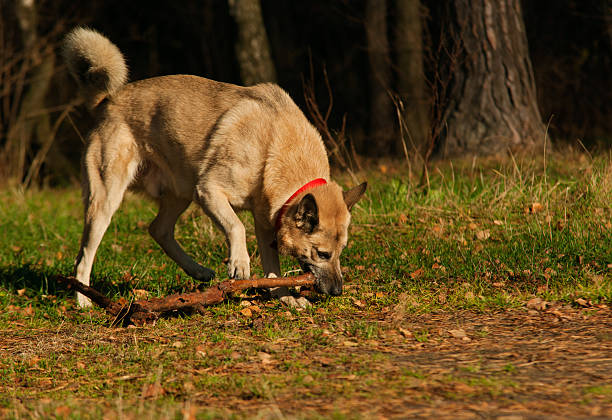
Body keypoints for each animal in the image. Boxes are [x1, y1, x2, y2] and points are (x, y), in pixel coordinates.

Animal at [62, 27, 366, 306]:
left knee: (159, 230)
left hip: (180, 193)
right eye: (323, 253)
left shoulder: (266, 222)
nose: (337, 291)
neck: (276, 147)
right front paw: (240, 264)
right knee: (83, 257)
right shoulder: (210, 191)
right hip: (107, 200)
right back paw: (85, 301)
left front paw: (286, 297)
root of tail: (107, 101)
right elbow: (237, 227)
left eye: (342, 251)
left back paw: (198, 271)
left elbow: (272, 269)